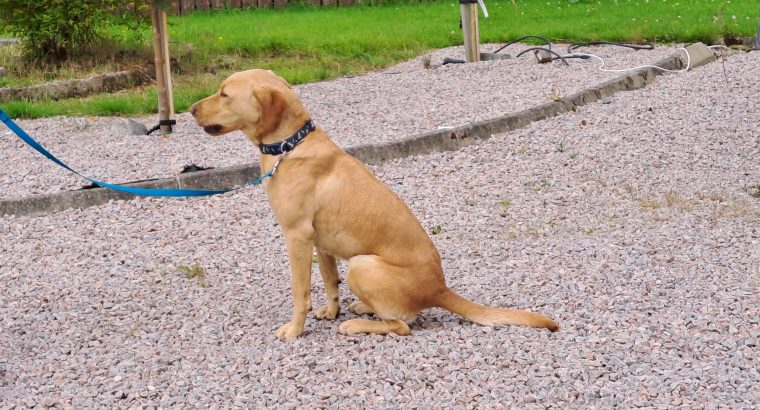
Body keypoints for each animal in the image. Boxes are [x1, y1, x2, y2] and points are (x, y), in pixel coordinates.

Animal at [190, 69, 560, 340]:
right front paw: (331, 310)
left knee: (401, 325)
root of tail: (439, 289)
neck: (290, 146)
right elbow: (329, 282)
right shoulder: (320, 243)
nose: (190, 110)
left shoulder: (296, 237)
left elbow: (300, 293)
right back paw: (358, 310)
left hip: (362, 265)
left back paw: (356, 324)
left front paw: (295, 330)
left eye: (224, 93)